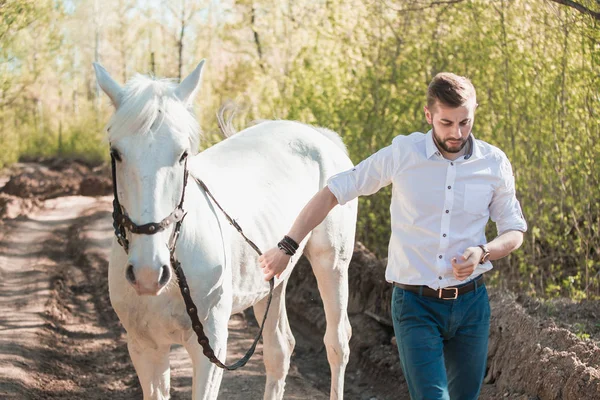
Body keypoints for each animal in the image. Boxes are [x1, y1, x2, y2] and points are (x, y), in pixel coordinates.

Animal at [92, 60, 356, 400]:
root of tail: (319, 136)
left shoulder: (211, 348)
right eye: (116, 153)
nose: (148, 273)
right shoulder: (144, 348)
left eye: (183, 154)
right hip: (272, 280)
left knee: (337, 343)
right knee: (279, 350)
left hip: (332, 263)